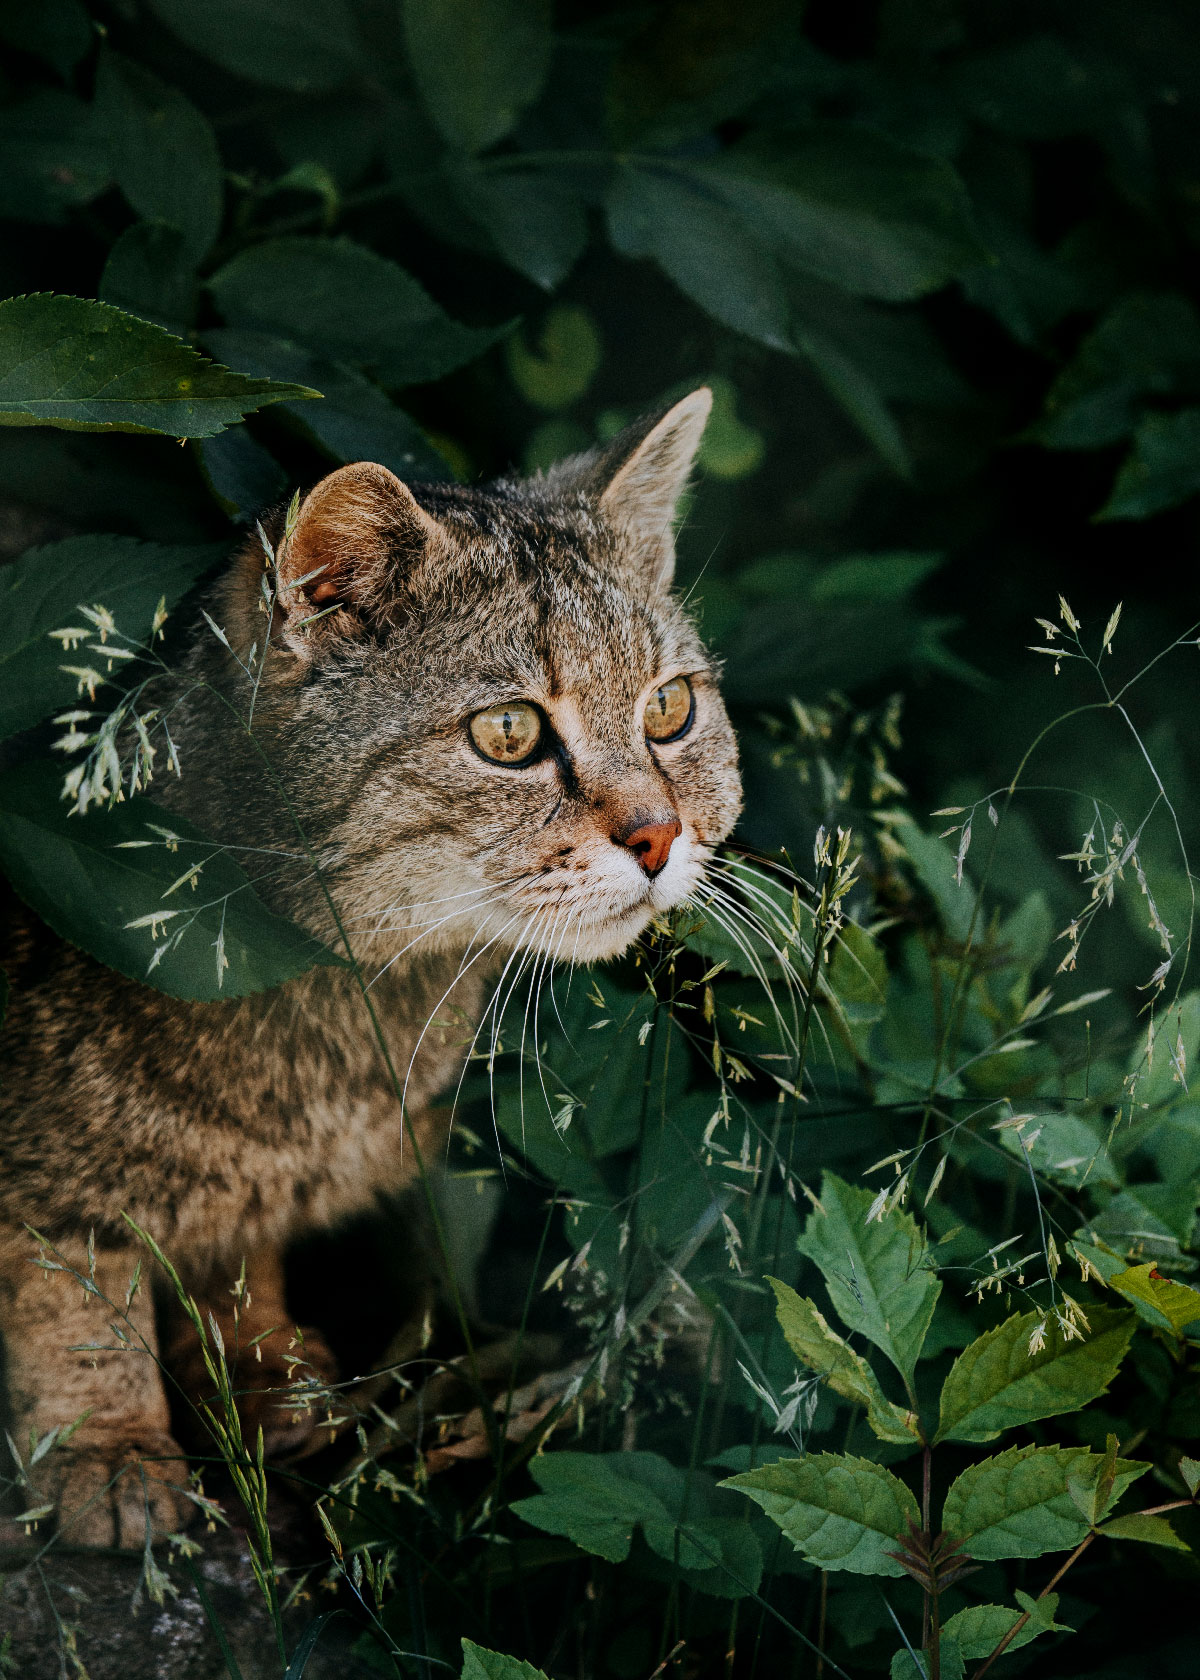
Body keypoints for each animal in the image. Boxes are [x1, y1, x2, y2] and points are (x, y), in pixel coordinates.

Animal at [0, 389, 739, 1545]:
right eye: (510, 731)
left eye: (670, 710)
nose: (662, 837)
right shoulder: (42, 1180)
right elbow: (70, 1293)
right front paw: (105, 1443)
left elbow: (232, 1257)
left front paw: (256, 1367)